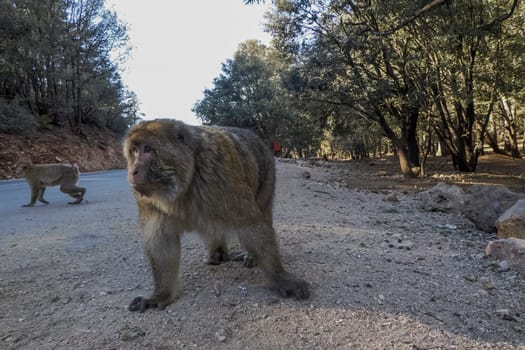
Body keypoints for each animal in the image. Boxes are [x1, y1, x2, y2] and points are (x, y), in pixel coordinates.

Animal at [124, 118, 310, 312]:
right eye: (134, 150)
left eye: (147, 149)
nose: (133, 170)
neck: (186, 180)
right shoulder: (148, 201)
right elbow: (161, 239)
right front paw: (161, 294)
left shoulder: (219, 173)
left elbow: (251, 224)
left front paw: (280, 277)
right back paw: (216, 253)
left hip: (267, 175)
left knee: (262, 210)